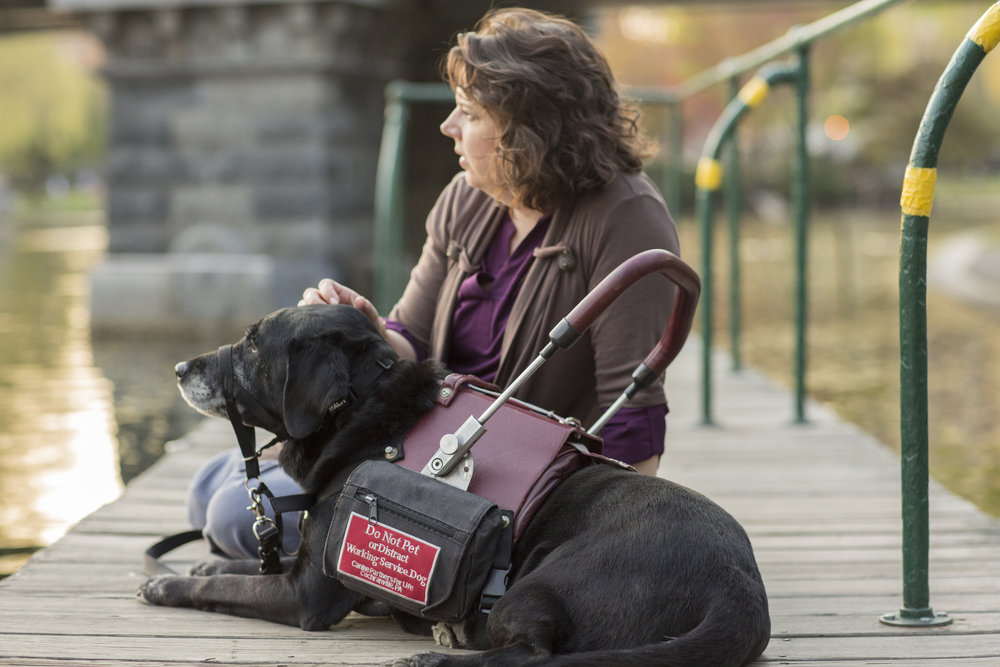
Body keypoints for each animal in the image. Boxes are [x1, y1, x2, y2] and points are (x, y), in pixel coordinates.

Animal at [137, 306, 768, 664]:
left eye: (251, 345)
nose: (179, 369)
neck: (369, 418)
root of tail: (738, 587)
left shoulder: (306, 595)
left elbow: (226, 589)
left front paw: (167, 586)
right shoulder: (302, 562)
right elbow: (244, 566)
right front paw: (201, 562)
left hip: (534, 587)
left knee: (533, 656)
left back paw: (437, 659)